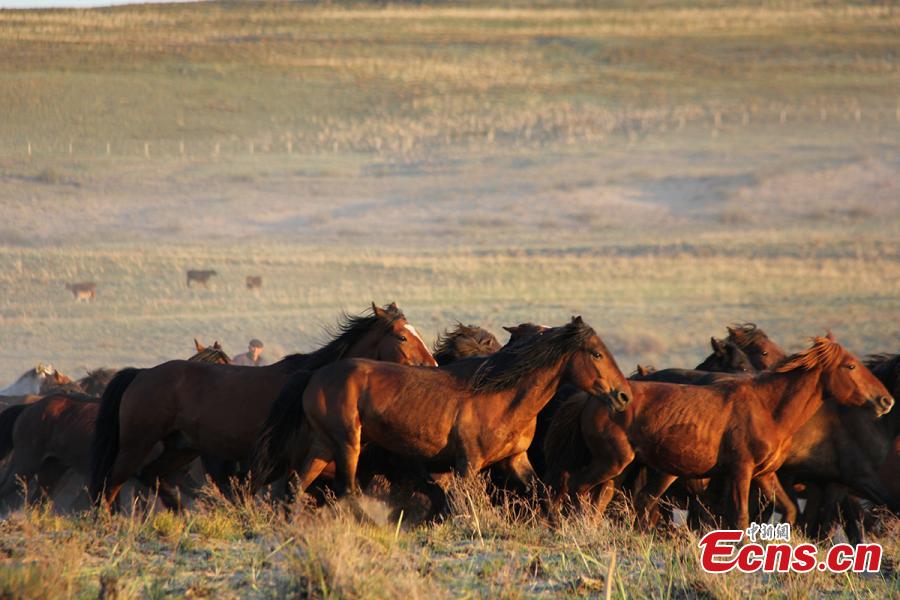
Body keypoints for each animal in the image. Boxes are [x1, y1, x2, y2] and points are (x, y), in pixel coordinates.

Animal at [89, 304, 436, 510]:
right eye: (402, 337)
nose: (432, 366)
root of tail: (141, 373)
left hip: (182, 447)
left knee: (153, 475)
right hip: (136, 443)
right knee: (112, 484)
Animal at [255, 318, 632, 502]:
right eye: (596, 353)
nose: (625, 395)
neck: (502, 394)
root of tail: (315, 374)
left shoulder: (516, 460)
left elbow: (541, 492)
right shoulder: (467, 465)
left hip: (324, 446)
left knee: (294, 487)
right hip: (348, 444)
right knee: (345, 491)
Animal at [544, 338, 896, 528]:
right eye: (850, 366)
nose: (885, 401)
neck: (767, 406)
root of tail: (594, 396)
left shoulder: (764, 474)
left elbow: (788, 510)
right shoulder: (740, 472)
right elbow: (739, 517)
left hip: (630, 467)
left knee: (614, 498)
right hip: (612, 461)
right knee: (576, 486)